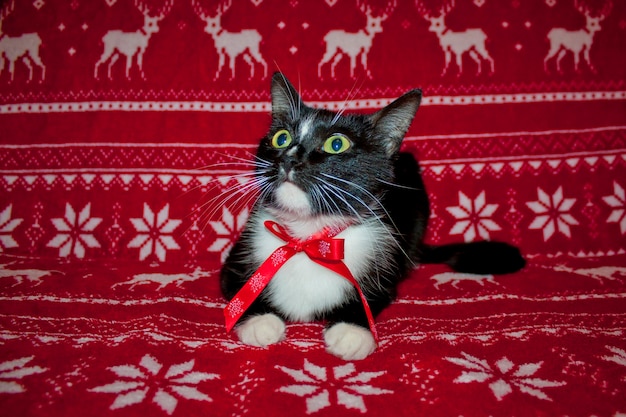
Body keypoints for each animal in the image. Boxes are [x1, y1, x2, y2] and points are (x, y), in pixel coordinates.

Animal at [219, 73, 520, 360]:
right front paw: (260, 321)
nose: (289, 158)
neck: (308, 238)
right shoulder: (242, 249)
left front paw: (351, 331)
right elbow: (237, 285)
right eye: (281, 138)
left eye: (337, 143)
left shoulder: (384, 261)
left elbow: (373, 296)